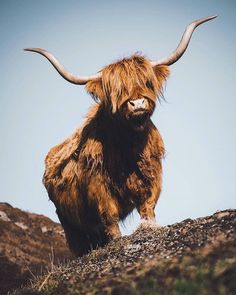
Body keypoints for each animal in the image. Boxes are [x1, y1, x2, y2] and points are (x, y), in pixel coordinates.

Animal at [25, 15, 216, 256]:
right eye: (116, 91)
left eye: (147, 82)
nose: (137, 103)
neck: (130, 147)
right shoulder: (99, 190)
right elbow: (110, 218)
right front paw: (117, 241)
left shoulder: (152, 178)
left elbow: (148, 209)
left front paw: (150, 228)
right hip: (69, 222)